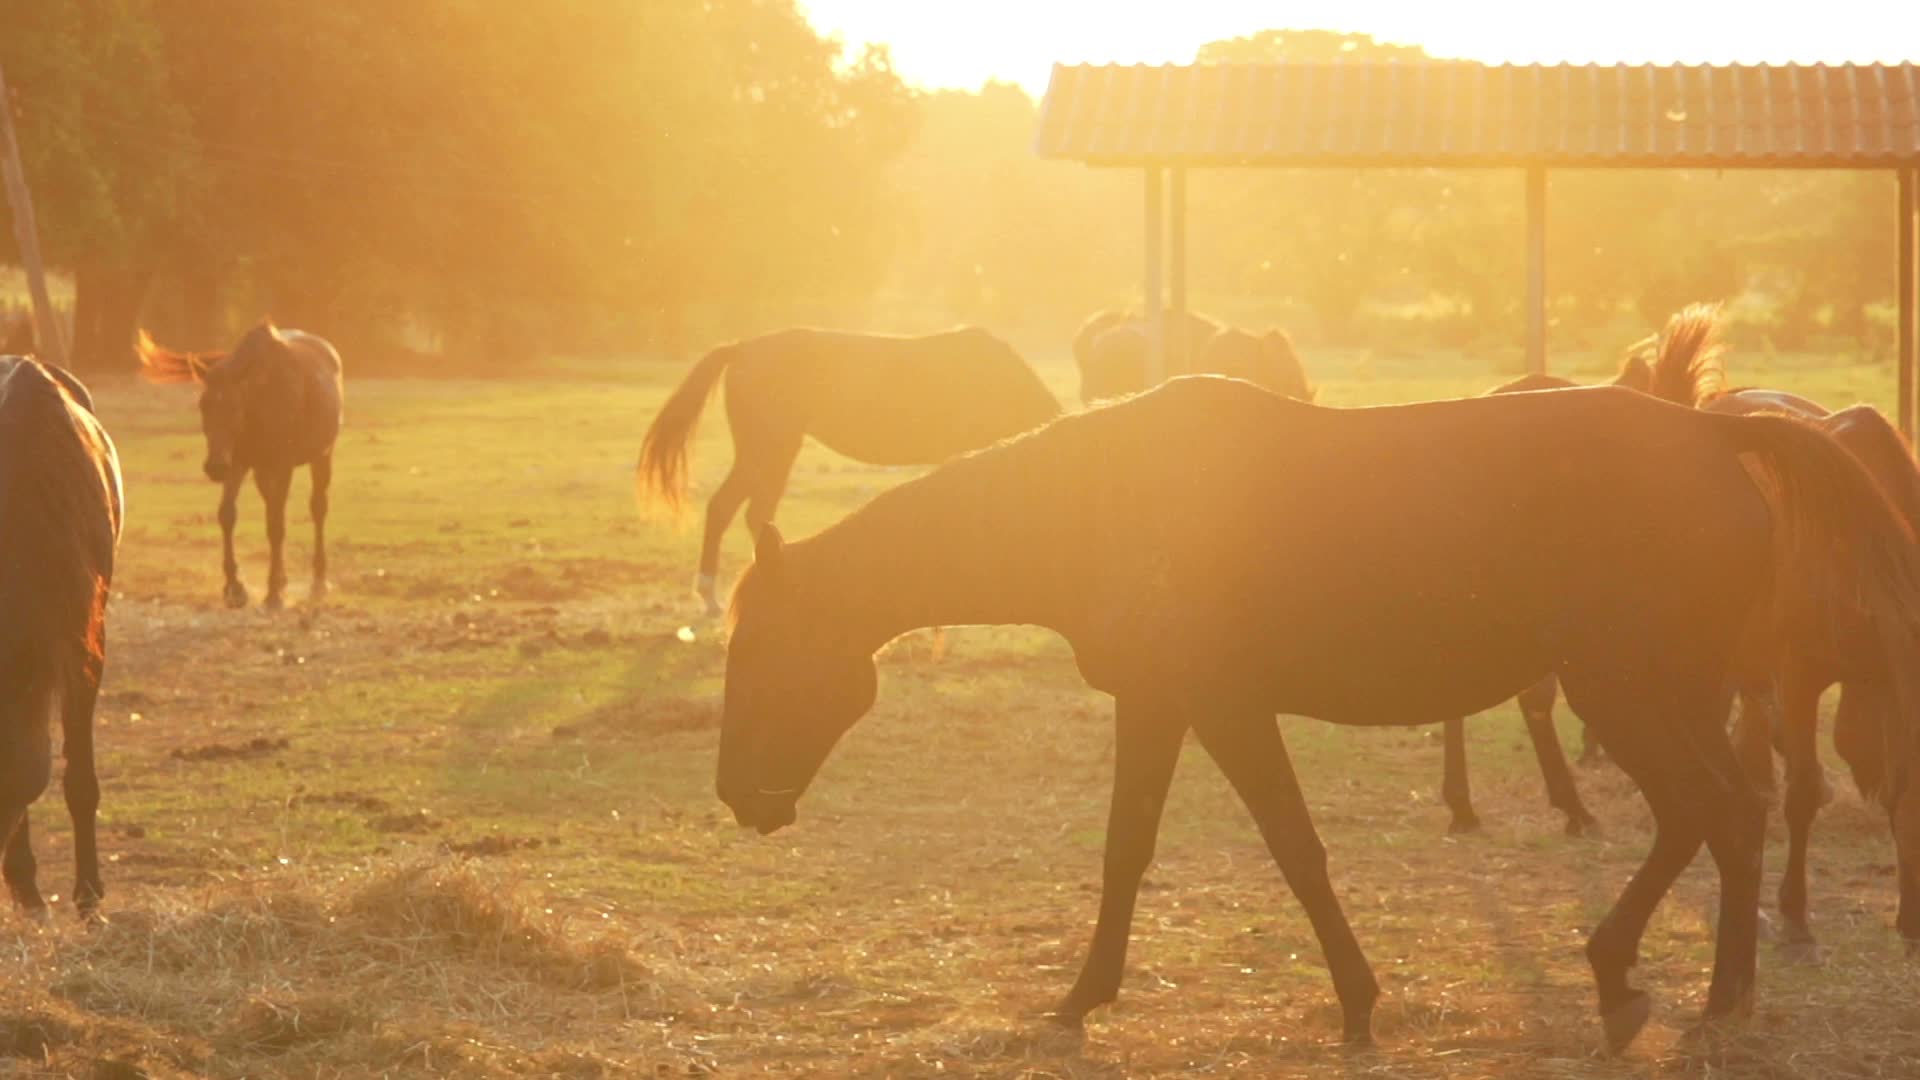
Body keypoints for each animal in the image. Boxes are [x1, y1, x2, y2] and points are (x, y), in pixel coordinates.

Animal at [137, 317, 343, 607]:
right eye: (203, 405)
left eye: (236, 407)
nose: (214, 466)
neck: (261, 399)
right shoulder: (238, 463)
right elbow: (228, 515)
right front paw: (235, 586)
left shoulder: (282, 464)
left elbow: (276, 524)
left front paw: (273, 594)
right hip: (262, 471)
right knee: (274, 504)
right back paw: (285, 578)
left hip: (322, 456)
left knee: (317, 508)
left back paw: (319, 581)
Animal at [714, 374, 1920, 1045]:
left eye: (759, 646)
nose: (737, 796)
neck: (1109, 499)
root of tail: (1712, 435)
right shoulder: (1159, 705)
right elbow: (1126, 851)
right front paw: (1082, 997)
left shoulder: (1224, 707)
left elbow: (1295, 850)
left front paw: (1355, 1003)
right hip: (1662, 692)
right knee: (1724, 815)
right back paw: (1681, 986)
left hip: (1627, 689)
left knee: (1713, 812)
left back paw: (1668, 986)